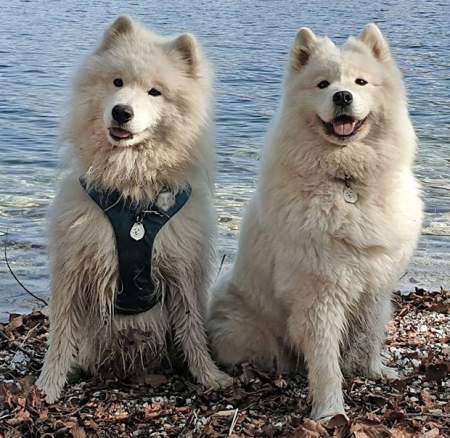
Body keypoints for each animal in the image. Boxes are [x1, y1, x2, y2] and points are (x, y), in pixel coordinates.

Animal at [209, 23, 424, 420]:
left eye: (360, 81)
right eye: (323, 84)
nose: (342, 96)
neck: (345, 180)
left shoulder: (377, 284)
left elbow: (371, 334)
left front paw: (374, 372)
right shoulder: (320, 296)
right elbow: (325, 363)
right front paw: (329, 411)